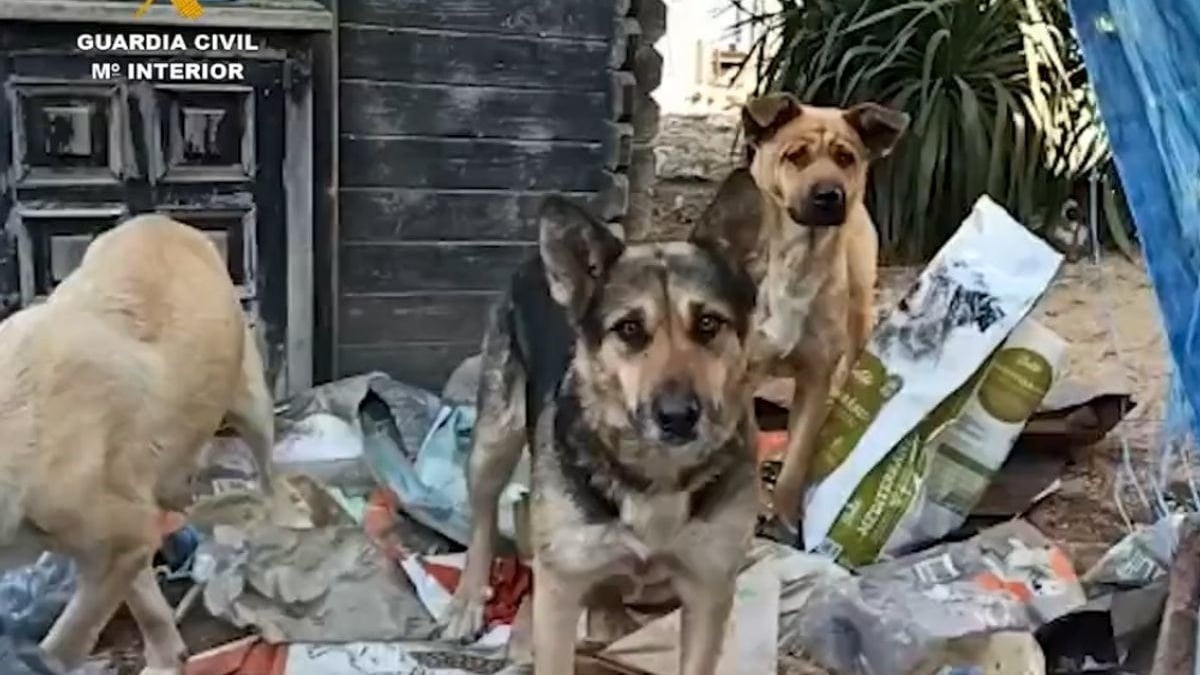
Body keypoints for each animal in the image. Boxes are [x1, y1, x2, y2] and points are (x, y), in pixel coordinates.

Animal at [0, 214, 278, 672]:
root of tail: (162, 220)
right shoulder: (125, 539)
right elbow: (145, 602)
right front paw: (169, 654)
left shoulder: (117, 534)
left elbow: (67, 639)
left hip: (252, 405)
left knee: (269, 470)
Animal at [441, 184, 758, 672]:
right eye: (628, 329)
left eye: (709, 323)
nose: (678, 416)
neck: (656, 471)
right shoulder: (560, 592)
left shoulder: (709, 590)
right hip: (494, 440)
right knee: (484, 521)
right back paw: (469, 602)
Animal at [729, 91, 907, 528]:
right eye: (795, 155)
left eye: (845, 157)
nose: (830, 195)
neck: (797, 260)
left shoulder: (815, 376)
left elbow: (796, 461)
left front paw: (787, 519)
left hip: (859, 317)